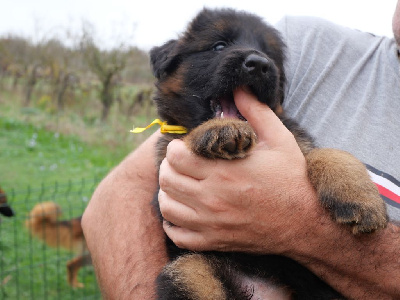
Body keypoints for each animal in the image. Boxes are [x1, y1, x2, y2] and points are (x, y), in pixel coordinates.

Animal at [148, 8, 388, 298]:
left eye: (268, 54)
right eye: (219, 46)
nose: (259, 64)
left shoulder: (297, 142)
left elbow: (331, 154)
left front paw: (360, 199)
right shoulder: (166, 168)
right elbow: (187, 135)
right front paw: (221, 128)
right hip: (189, 269)